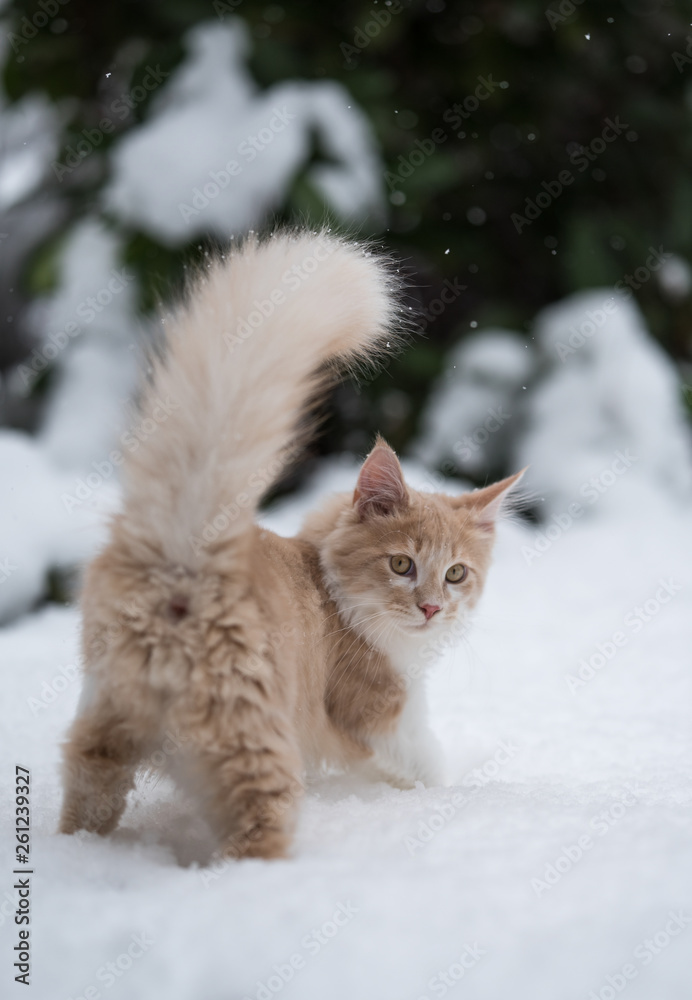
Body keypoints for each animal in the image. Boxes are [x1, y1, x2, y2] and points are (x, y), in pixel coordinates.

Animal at [60, 227, 520, 860]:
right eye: (402, 564)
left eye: (456, 574)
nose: (430, 609)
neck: (334, 589)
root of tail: (188, 553)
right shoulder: (383, 716)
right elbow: (427, 769)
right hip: (254, 739)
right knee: (256, 834)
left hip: (104, 727)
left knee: (85, 794)